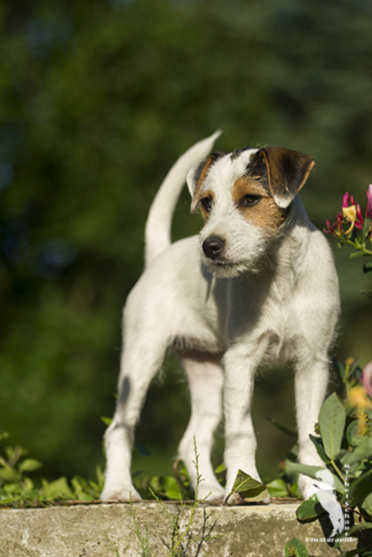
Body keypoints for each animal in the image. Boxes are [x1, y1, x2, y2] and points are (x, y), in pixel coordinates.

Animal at [101, 132, 340, 502]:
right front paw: (246, 485)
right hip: (141, 359)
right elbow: (241, 432)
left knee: (192, 437)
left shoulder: (312, 362)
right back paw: (119, 489)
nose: (209, 247)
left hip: (208, 374)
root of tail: (159, 256)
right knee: (118, 429)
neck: (278, 276)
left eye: (251, 199)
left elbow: (310, 432)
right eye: (206, 203)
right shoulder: (241, 359)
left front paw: (315, 487)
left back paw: (210, 492)